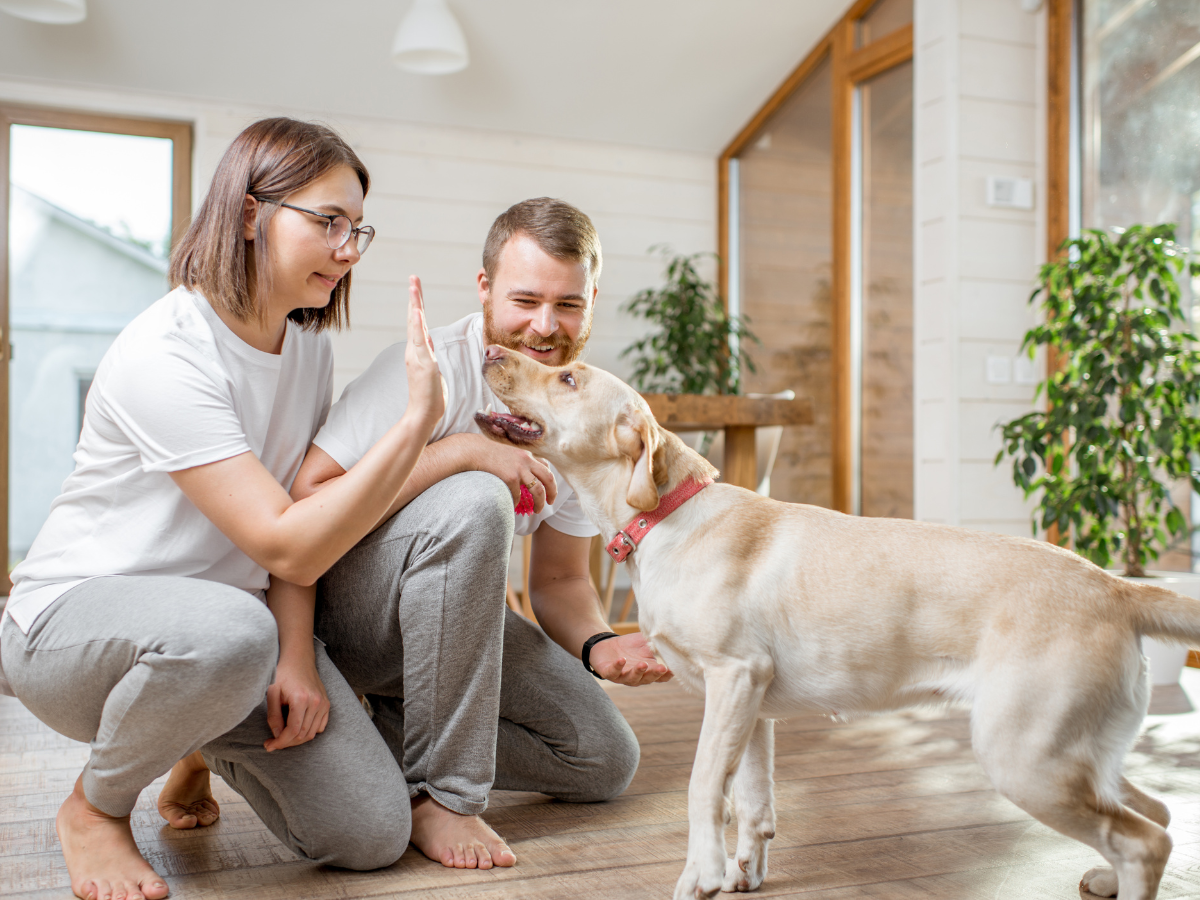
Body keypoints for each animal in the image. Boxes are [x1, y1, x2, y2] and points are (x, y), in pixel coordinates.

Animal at [472, 345, 1195, 900]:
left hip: (1024, 756)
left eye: (568, 377)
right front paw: (743, 871)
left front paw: (702, 873)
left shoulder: (732, 679)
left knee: (1144, 839)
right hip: (1072, 753)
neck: (667, 517)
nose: (492, 350)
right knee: (1156, 811)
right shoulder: (754, 704)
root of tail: (1115, 586)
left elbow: (706, 786)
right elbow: (753, 801)